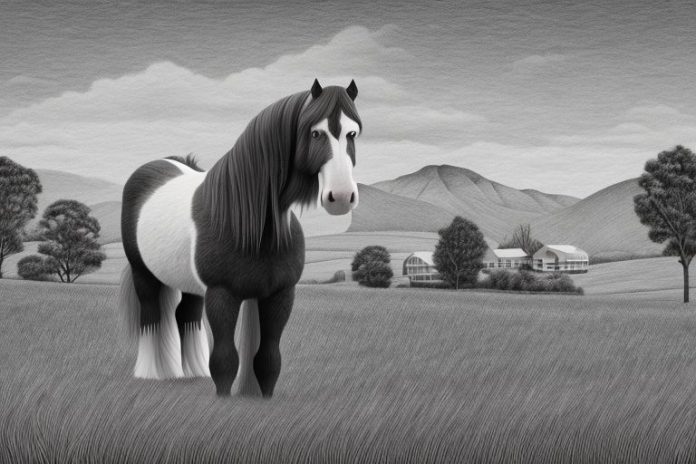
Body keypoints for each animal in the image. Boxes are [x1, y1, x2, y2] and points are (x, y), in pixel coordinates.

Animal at [118, 79, 361, 397]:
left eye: (352, 132)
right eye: (315, 132)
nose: (341, 196)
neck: (249, 222)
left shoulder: (280, 294)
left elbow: (269, 359)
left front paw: (263, 398)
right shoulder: (222, 295)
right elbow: (225, 360)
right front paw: (223, 400)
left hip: (189, 283)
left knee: (186, 314)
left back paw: (191, 372)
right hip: (143, 274)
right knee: (151, 316)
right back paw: (153, 373)